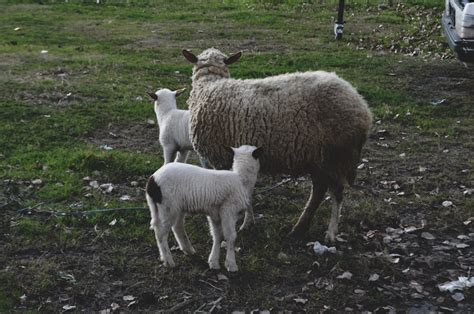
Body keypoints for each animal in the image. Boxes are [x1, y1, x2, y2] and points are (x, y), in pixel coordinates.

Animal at [181, 47, 370, 242]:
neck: (209, 85)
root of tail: (362, 107)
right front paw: (247, 221)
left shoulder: (218, 158)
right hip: (320, 159)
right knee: (319, 190)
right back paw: (299, 228)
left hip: (334, 157)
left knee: (336, 193)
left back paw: (330, 232)